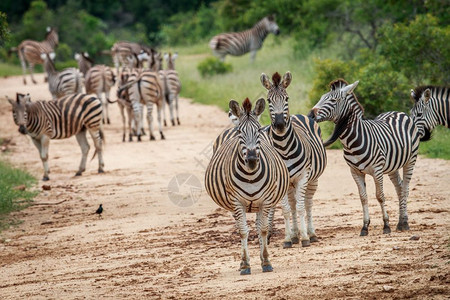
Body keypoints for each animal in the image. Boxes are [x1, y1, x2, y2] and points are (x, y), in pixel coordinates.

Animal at [207, 97, 290, 276]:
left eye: (258, 130)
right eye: (240, 133)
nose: (251, 160)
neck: (251, 176)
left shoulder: (266, 201)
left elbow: (263, 229)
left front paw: (266, 261)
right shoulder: (236, 202)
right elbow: (243, 231)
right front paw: (245, 265)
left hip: (261, 203)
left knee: (259, 227)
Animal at [260, 71, 326, 247]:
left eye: (287, 98)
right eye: (268, 100)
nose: (280, 125)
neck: (284, 149)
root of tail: (299, 115)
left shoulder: (303, 177)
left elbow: (302, 207)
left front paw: (305, 238)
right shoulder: (280, 180)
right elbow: (287, 209)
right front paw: (288, 238)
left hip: (313, 179)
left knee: (308, 203)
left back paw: (311, 233)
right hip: (289, 183)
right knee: (293, 204)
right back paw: (296, 235)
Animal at [310, 78, 422, 236]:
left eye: (333, 100)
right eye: (321, 98)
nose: (310, 115)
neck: (352, 141)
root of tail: (398, 112)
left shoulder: (377, 170)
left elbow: (380, 196)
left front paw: (386, 225)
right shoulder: (355, 172)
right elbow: (363, 197)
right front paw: (365, 227)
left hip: (410, 160)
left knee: (405, 188)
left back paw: (405, 223)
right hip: (392, 166)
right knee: (399, 188)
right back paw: (400, 222)